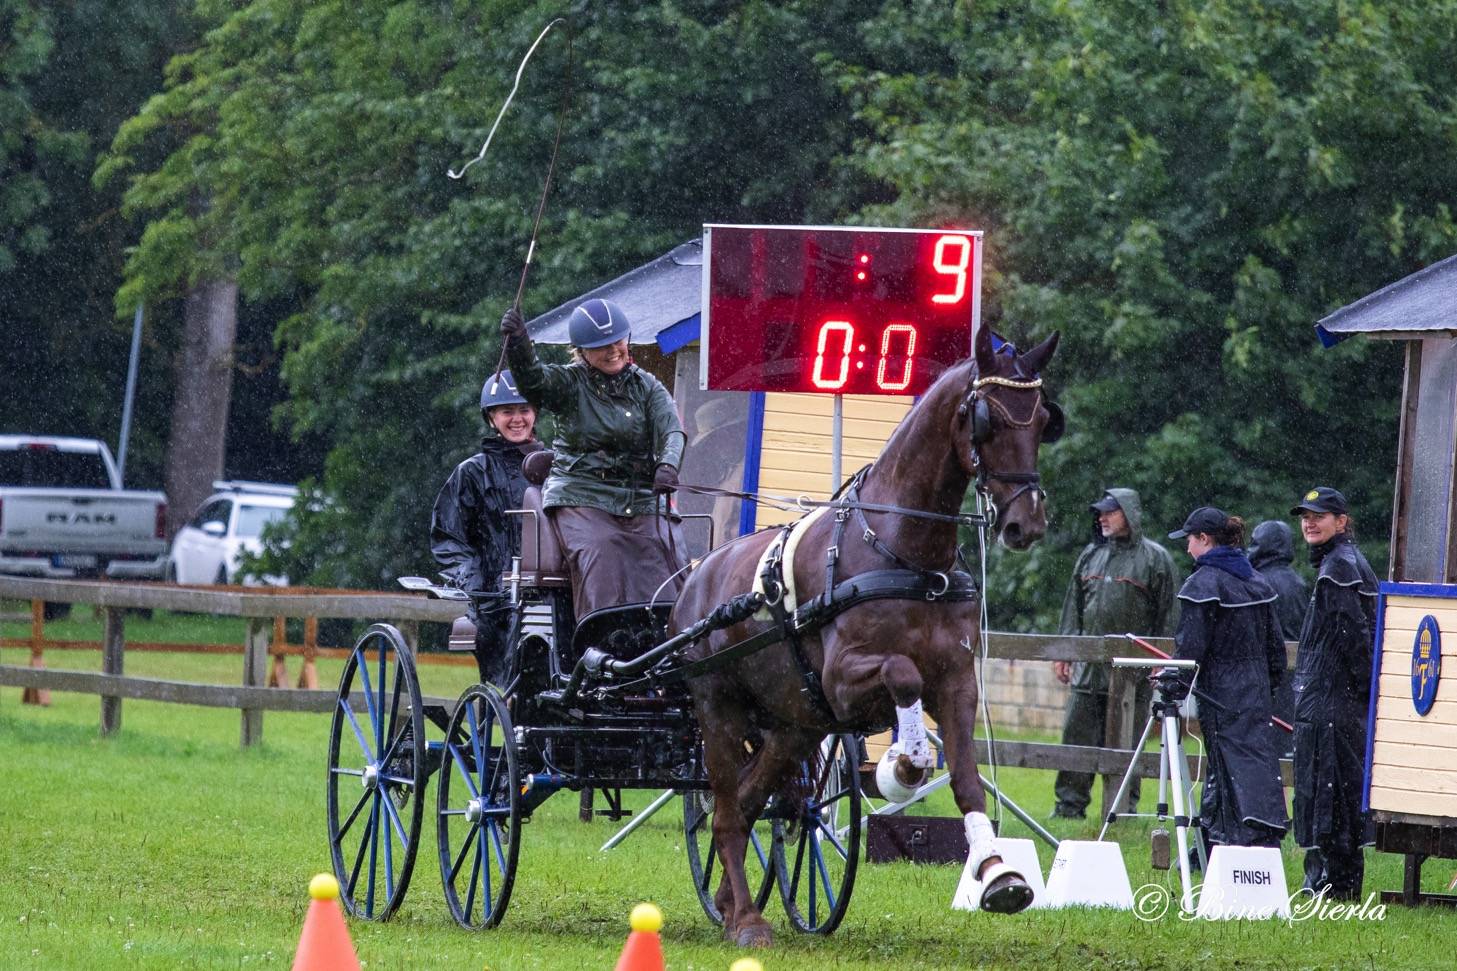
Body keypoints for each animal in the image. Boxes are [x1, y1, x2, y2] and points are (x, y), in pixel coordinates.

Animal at [670, 323, 1061, 946]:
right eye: (988, 420)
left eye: (1044, 418)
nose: (1027, 524)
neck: (904, 553)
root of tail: (696, 579)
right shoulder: (843, 679)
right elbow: (902, 677)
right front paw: (903, 766)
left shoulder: (956, 681)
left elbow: (968, 781)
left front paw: (998, 873)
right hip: (719, 711)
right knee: (726, 808)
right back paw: (749, 921)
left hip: (794, 725)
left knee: (753, 801)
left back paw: (730, 904)